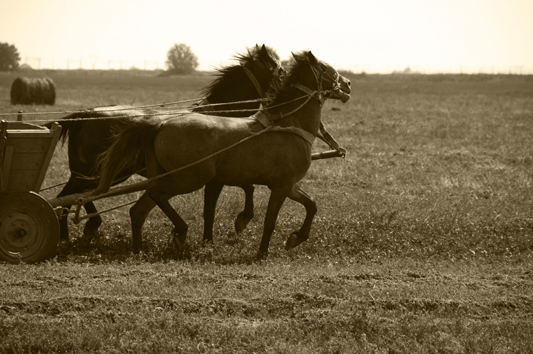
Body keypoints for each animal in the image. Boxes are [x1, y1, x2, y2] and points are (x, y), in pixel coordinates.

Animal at [49, 43, 282, 243]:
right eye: (280, 71)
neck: (220, 117)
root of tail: (85, 114)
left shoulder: (221, 173)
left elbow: (228, 198)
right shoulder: (217, 176)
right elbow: (222, 202)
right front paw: (224, 229)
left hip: (96, 172)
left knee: (77, 195)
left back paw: (82, 228)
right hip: (100, 172)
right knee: (71, 196)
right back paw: (72, 231)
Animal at [91, 51, 350, 258]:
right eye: (328, 68)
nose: (348, 84)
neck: (288, 125)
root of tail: (160, 124)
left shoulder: (288, 185)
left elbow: (311, 205)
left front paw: (296, 238)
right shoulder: (280, 186)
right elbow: (269, 220)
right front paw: (262, 251)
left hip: (169, 176)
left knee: (139, 209)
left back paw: (139, 249)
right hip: (190, 178)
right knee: (156, 196)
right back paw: (180, 232)